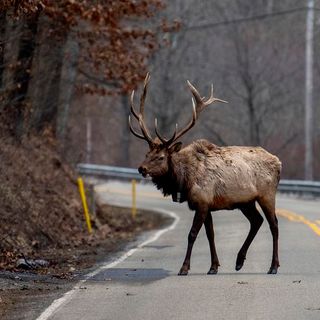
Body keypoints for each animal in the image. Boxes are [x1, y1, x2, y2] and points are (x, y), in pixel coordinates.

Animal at [129, 73, 282, 276]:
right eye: (147, 154)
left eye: (161, 157)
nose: (141, 168)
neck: (184, 180)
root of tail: (279, 163)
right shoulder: (207, 204)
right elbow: (210, 234)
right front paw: (213, 266)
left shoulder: (201, 201)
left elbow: (192, 234)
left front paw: (184, 268)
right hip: (245, 201)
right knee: (257, 221)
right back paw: (239, 261)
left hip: (267, 194)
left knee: (274, 225)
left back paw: (273, 266)